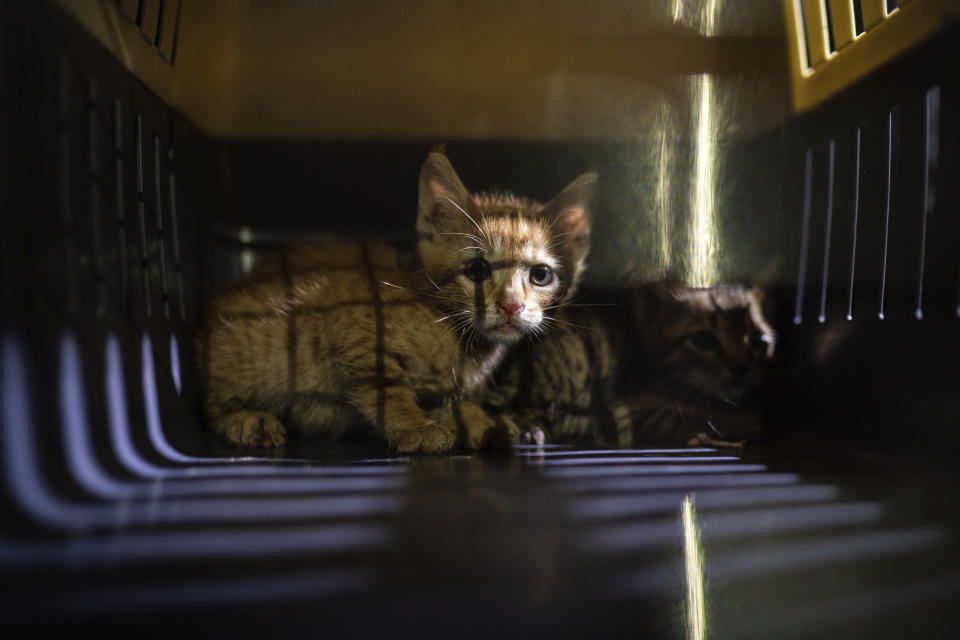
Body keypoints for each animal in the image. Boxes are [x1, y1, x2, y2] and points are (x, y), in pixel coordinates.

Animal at [200, 152, 596, 452]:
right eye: (478, 269)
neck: (460, 339)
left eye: (541, 275)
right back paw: (247, 419)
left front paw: (481, 420)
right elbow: (388, 387)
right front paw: (417, 427)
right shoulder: (354, 327)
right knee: (213, 402)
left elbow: (454, 402)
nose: (512, 306)